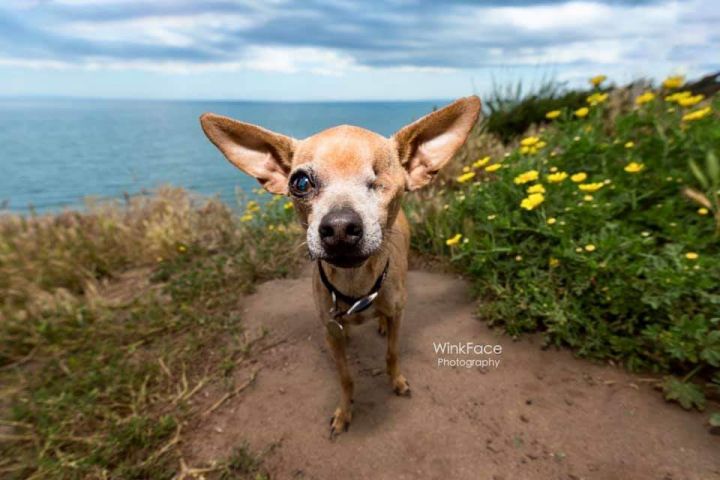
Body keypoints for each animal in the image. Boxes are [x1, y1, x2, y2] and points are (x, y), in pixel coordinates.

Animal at [200, 95, 480, 436]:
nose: (340, 227)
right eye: (300, 182)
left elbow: (392, 353)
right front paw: (345, 411)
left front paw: (396, 380)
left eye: (381, 181)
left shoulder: (398, 315)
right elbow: (345, 376)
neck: (355, 285)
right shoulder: (330, 333)